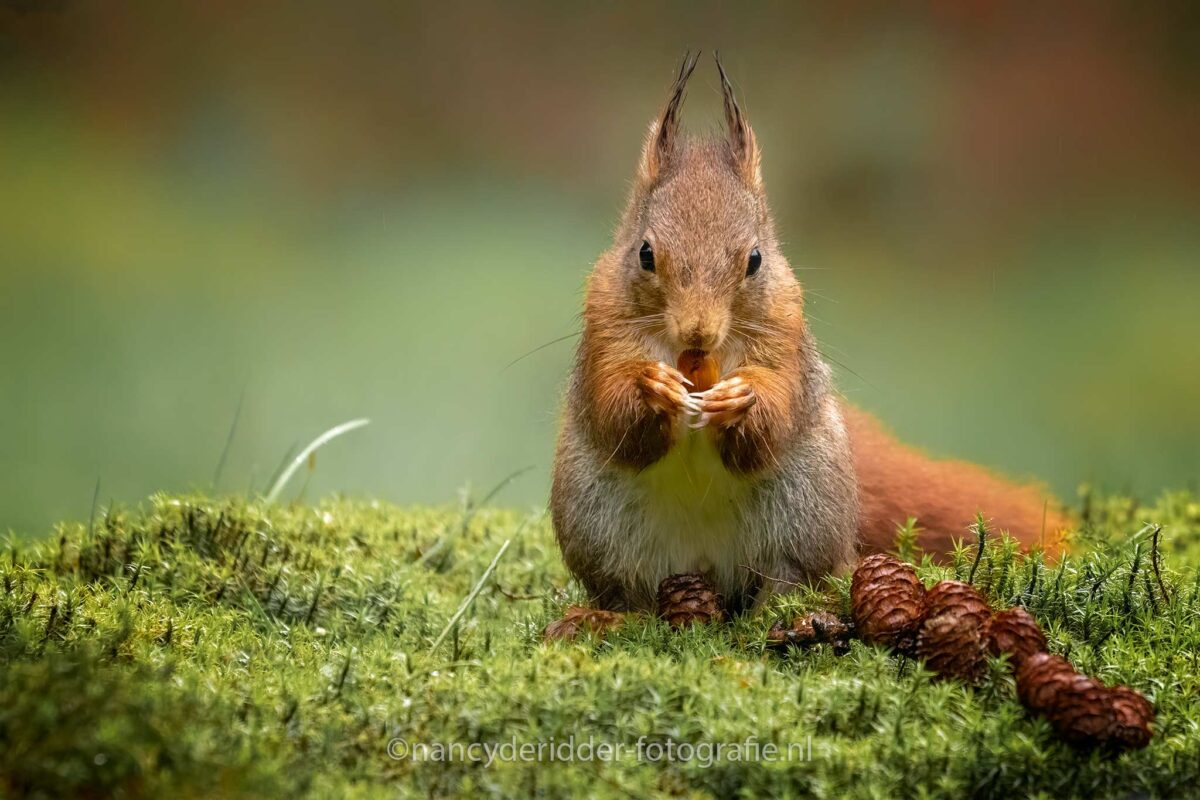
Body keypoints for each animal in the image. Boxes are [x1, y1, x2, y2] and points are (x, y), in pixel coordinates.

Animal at [550, 54, 1069, 614]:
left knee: (791, 579)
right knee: (628, 595)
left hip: (805, 511)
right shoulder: (603, 329)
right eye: (645, 254)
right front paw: (653, 388)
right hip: (598, 523)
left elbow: (775, 414)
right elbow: (612, 413)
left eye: (755, 259)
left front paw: (743, 399)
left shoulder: (786, 336)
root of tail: (705, 570)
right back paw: (597, 619)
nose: (699, 331)